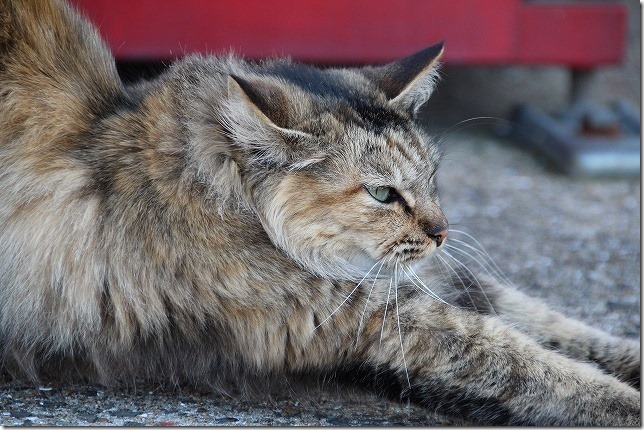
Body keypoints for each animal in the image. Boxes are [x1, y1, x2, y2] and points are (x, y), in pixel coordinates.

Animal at [0, 0, 640, 424]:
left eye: (430, 178)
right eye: (382, 195)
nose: (441, 231)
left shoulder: (422, 283)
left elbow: (561, 328)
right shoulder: (372, 317)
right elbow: (529, 361)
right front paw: (627, 402)